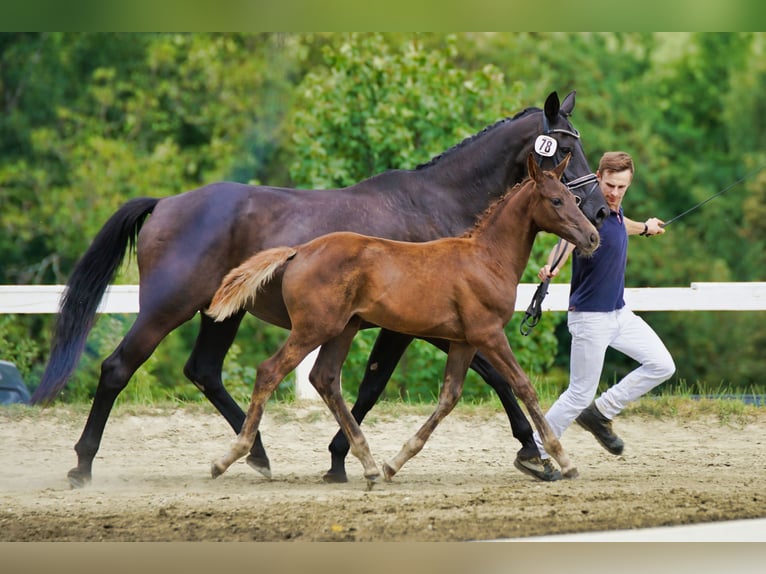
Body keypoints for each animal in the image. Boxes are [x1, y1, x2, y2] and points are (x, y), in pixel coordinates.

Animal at [206, 153, 598, 487]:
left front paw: (395, 463)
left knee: (325, 379)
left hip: (342, 329)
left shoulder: (463, 341)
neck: (486, 258)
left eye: (572, 198)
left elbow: (449, 397)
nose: (593, 236)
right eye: (557, 200)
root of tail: (299, 251)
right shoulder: (488, 334)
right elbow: (522, 385)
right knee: (270, 372)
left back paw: (367, 464)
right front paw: (562, 461)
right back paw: (232, 457)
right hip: (314, 328)